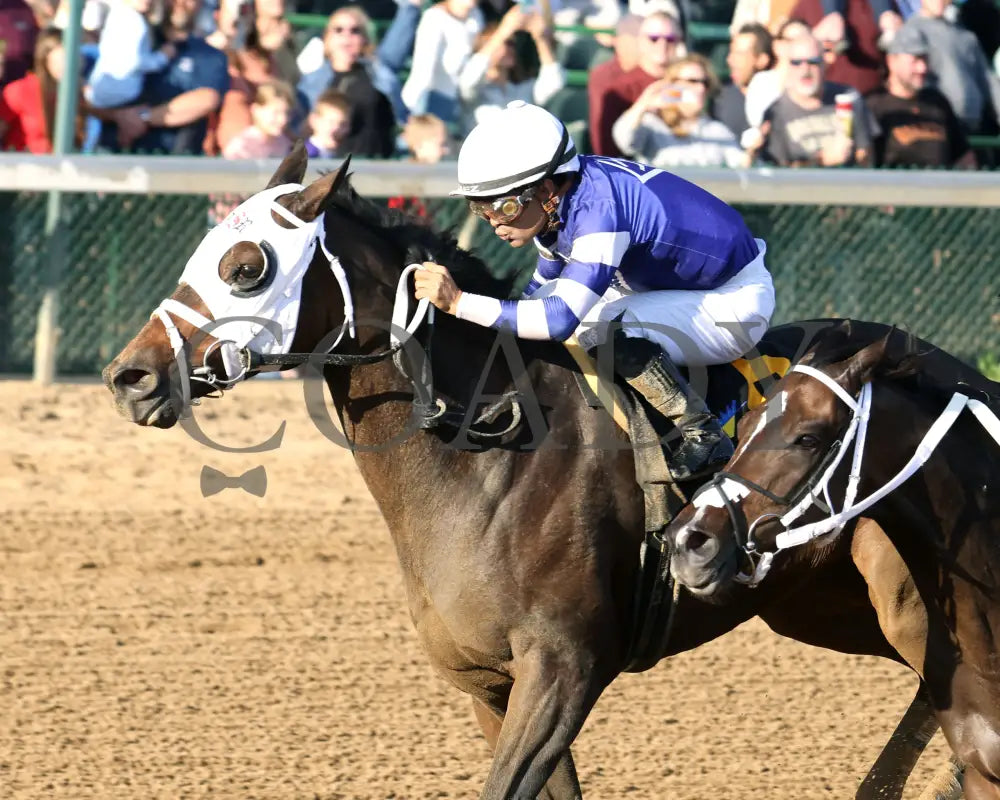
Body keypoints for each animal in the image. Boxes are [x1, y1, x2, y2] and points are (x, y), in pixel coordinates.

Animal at [102, 145, 951, 798]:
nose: (130, 377)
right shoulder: (491, 681)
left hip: (899, 600)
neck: (488, 448)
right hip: (822, 605)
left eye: (247, 268)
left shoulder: (564, 667)